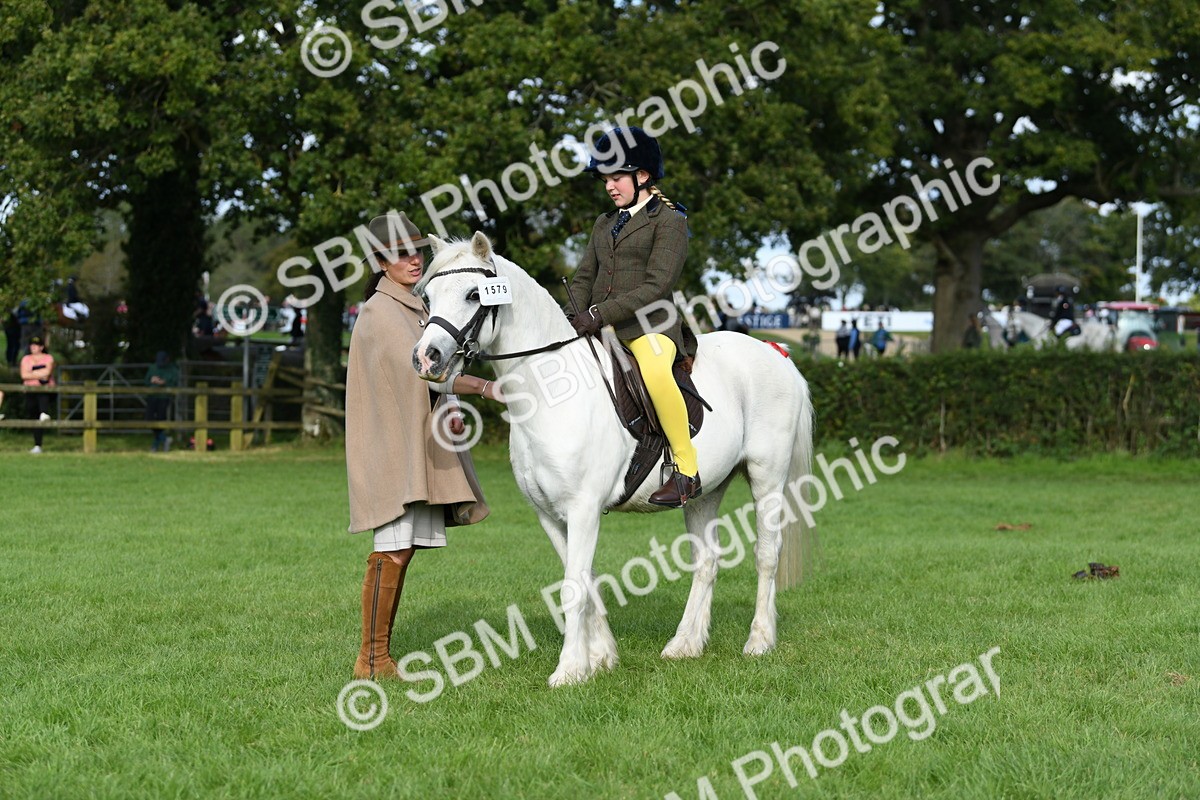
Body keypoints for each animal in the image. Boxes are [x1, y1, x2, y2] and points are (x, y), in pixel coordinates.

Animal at [412, 233, 815, 687]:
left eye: (472, 294)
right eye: (427, 296)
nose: (426, 358)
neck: (551, 390)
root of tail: (775, 352)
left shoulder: (583, 508)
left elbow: (573, 586)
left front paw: (569, 670)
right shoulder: (550, 514)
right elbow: (584, 580)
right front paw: (600, 657)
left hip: (767, 477)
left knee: (767, 553)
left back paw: (759, 641)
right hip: (705, 490)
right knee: (707, 561)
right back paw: (685, 644)